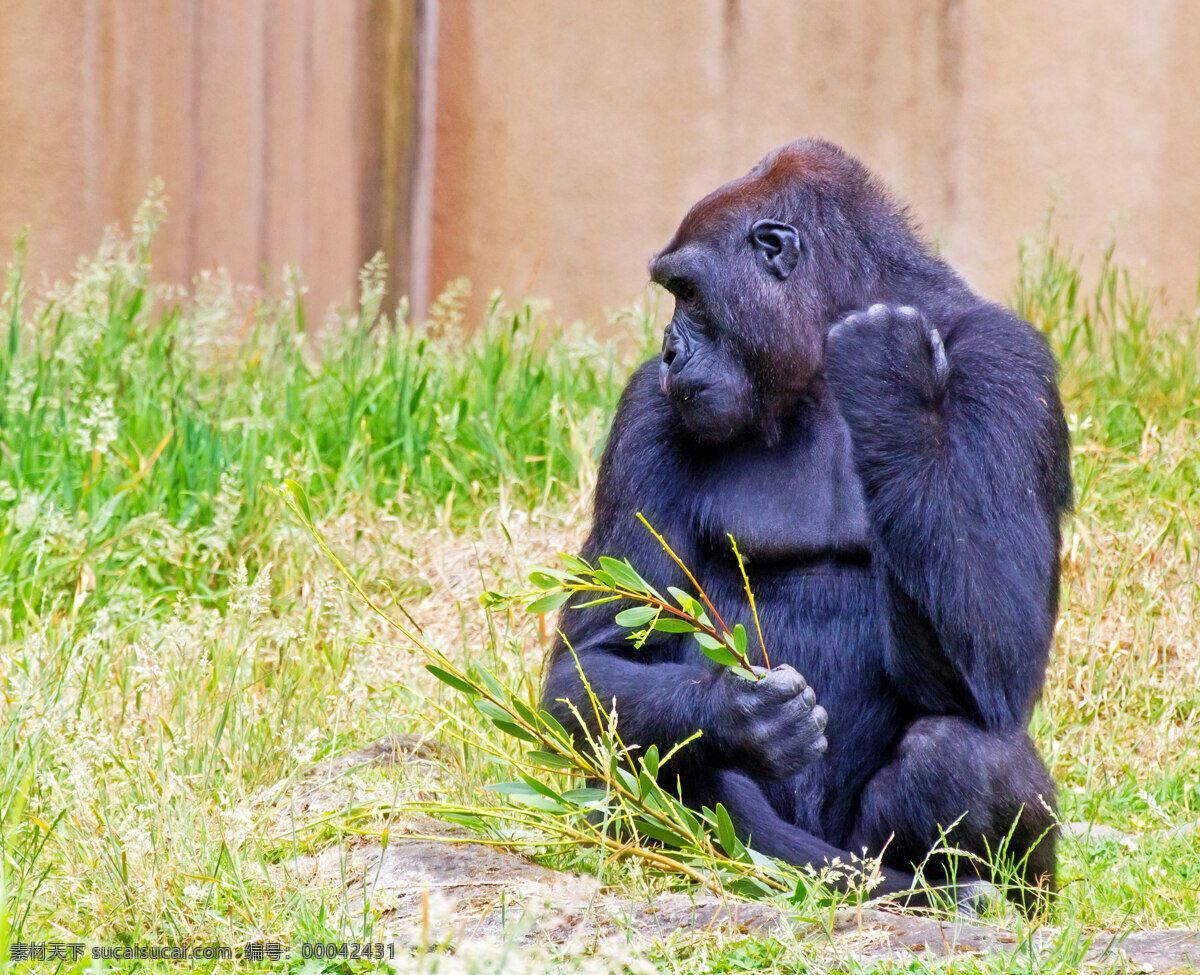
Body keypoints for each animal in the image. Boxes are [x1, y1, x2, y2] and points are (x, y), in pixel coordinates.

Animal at [540, 139, 1075, 912]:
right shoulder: (647, 406)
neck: (816, 369)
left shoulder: (1010, 367)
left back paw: (959, 888)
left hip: (868, 860)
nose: (669, 350)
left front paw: (888, 372)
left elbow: (1000, 651)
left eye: (688, 293)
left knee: (964, 753)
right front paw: (737, 713)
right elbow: (591, 662)